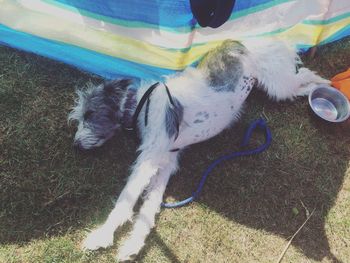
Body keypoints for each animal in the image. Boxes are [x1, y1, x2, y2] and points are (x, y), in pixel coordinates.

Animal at [67, 37, 328, 262]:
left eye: (89, 114)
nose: (76, 146)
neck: (140, 104)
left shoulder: (148, 160)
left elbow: (125, 201)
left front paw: (102, 236)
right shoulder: (165, 163)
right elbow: (149, 207)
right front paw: (133, 245)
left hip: (278, 83)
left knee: (304, 73)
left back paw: (325, 83)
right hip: (281, 88)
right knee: (301, 84)